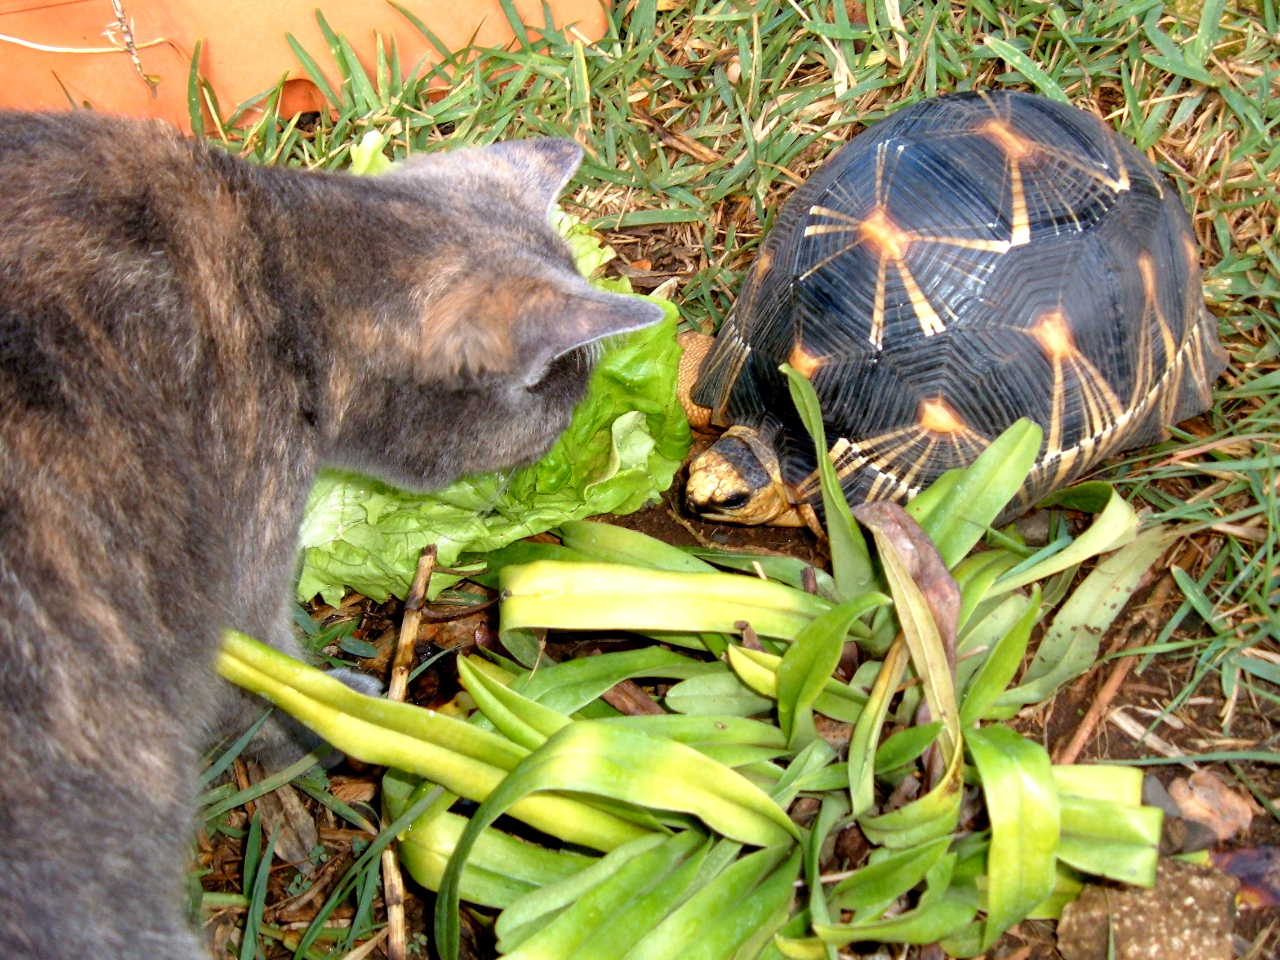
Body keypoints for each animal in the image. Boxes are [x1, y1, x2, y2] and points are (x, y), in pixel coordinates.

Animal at [0, 110, 660, 957]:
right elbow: (269, 679)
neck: (283, 269)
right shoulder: (245, 545)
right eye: (556, 406)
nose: (553, 447)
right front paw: (347, 726)